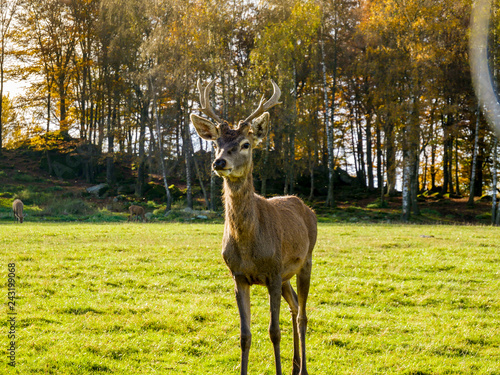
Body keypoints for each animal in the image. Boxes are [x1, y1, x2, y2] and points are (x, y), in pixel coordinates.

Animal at [191, 78, 316, 375]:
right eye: (216, 143)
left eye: (246, 144)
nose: (219, 162)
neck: (250, 248)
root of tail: (307, 208)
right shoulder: (238, 275)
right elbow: (245, 335)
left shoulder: (273, 272)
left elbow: (274, 332)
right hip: (287, 274)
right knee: (295, 305)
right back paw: (295, 364)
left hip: (306, 260)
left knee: (303, 314)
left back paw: (303, 368)